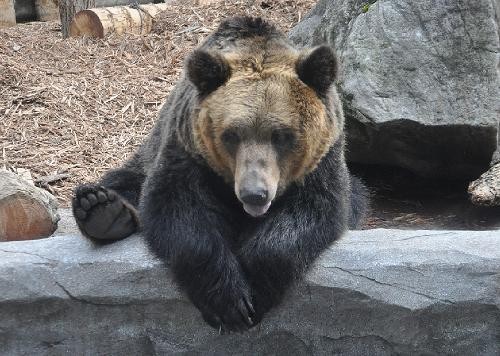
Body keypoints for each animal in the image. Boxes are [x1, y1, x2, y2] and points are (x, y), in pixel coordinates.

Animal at [71, 16, 368, 332]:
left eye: (282, 135)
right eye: (232, 135)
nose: (254, 194)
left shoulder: (322, 163)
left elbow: (311, 212)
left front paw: (256, 289)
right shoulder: (188, 152)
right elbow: (180, 213)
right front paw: (229, 302)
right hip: (142, 163)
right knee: (121, 183)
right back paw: (102, 210)